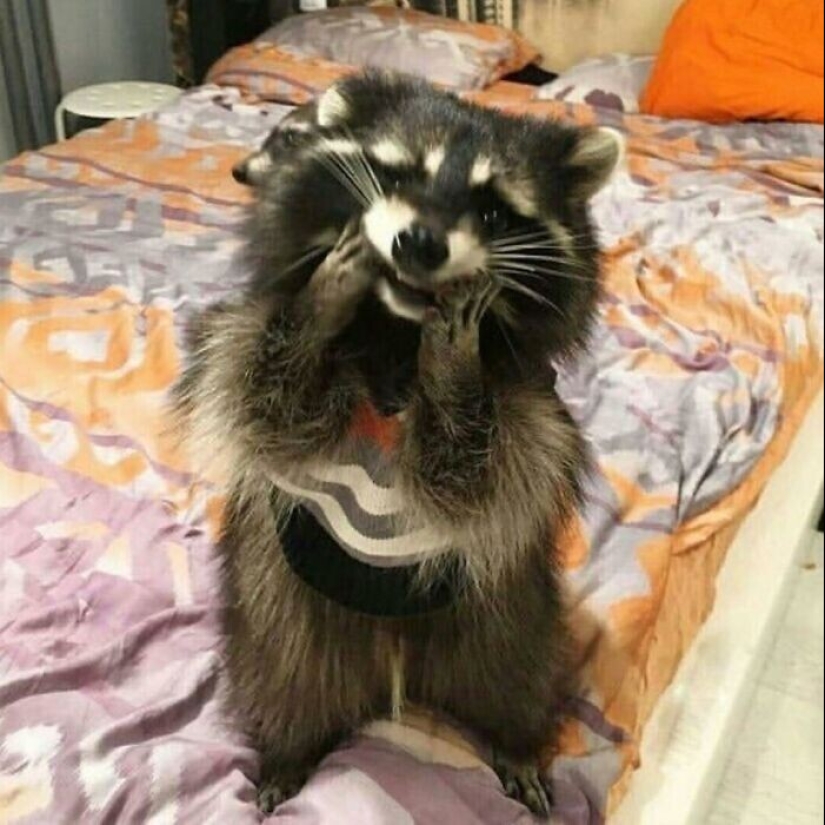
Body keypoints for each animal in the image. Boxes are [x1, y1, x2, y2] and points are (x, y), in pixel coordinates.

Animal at [175, 72, 622, 818]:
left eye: (493, 211)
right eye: (398, 173)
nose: (420, 243)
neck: (395, 328)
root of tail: (396, 663)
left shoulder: (534, 409)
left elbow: (477, 471)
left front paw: (454, 362)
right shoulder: (244, 340)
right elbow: (270, 407)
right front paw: (321, 302)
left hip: (506, 612)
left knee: (518, 672)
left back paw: (515, 738)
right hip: (277, 609)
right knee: (281, 676)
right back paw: (287, 748)